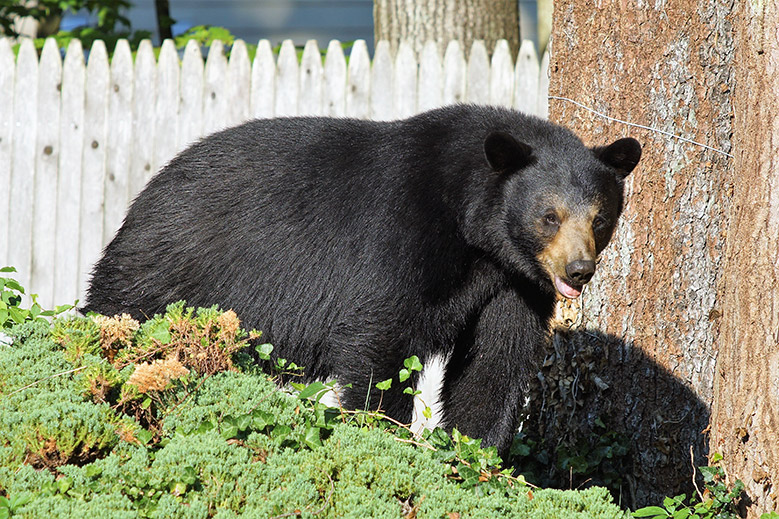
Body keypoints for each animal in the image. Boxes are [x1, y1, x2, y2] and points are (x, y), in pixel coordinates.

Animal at [83, 104, 641, 454]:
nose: (578, 270)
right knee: (119, 311)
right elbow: (383, 344)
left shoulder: (513, 284)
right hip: (168, 269)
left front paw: (475, 453)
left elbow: (495, 361)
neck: (477, 235)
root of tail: (148, 192)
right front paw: (384, 433)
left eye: (599, 219)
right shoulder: (401, 237)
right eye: (549, 216)